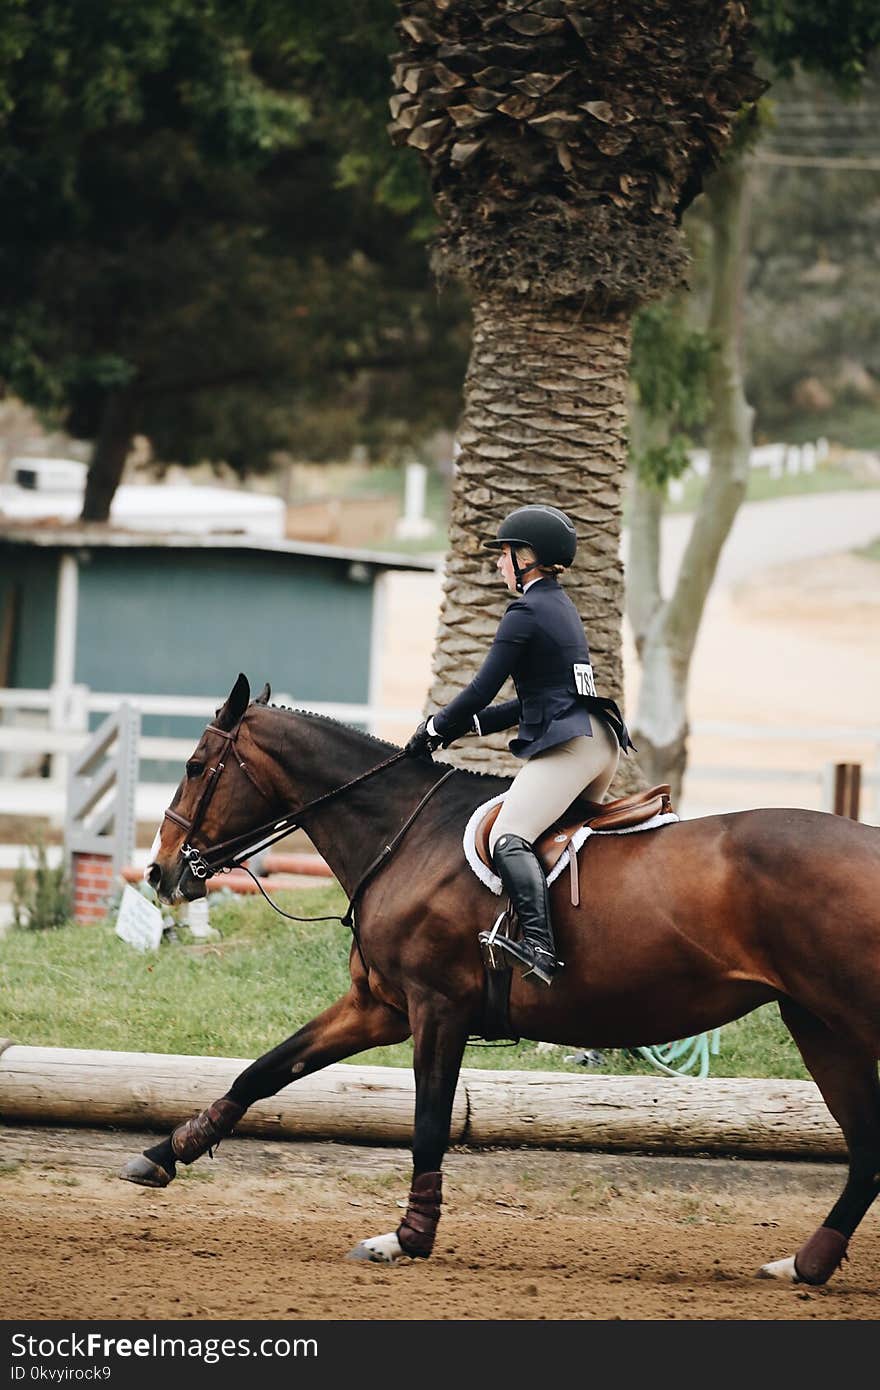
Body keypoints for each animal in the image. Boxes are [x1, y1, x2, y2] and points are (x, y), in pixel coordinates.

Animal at [127, 669, 878, 1278]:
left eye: (195, 765)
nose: (159, 872)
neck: (404, 835)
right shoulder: (378, 1005)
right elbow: (265, 1070)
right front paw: (167, 1152)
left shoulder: (437, 1008)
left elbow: (430, 1120)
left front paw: (407, 1238)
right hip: (817, 1023)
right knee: (866, 1148)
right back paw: (804, 1265)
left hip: (846, 1017)